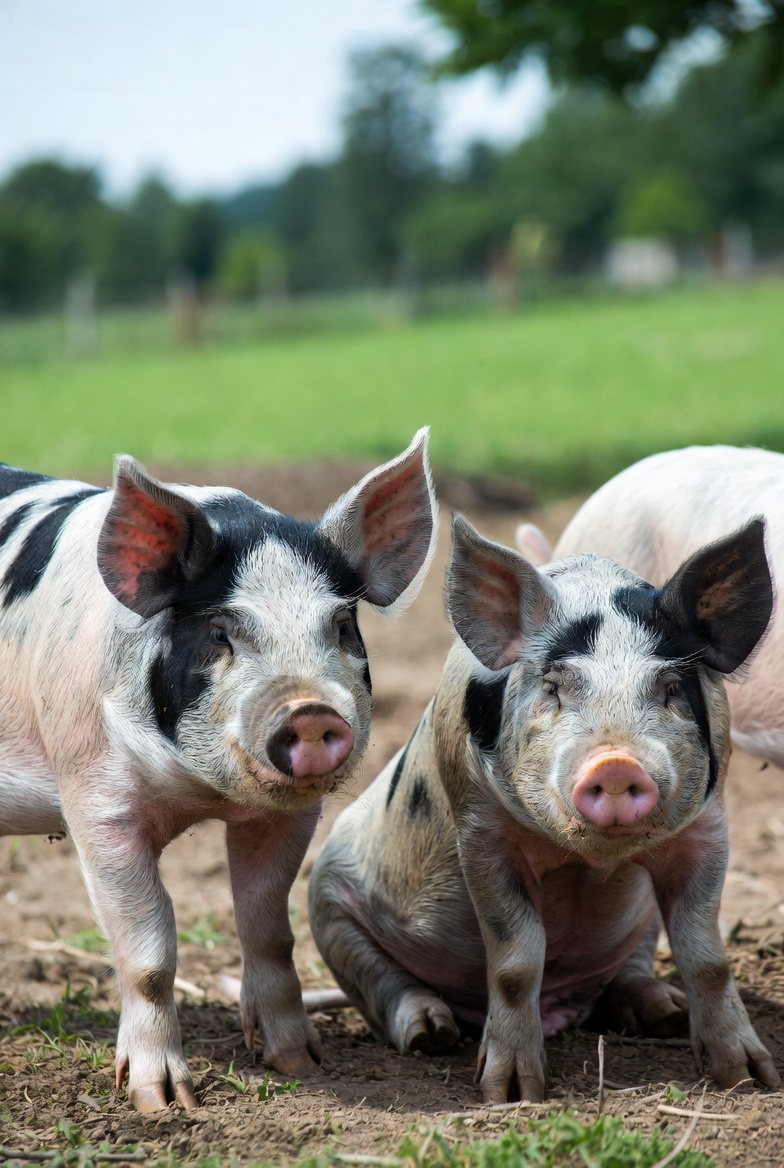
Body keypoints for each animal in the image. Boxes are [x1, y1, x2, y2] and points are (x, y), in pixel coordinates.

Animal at [0, 430, 437, 1113]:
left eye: (341, 625)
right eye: (221, 631)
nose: (310, 711)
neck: (199, 792)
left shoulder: (288, 815)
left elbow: (268, 927)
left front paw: (302, 1063)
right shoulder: (96, 798)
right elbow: (149, 952)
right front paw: (163, 1102)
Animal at [309, 515, 780, 1102]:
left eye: (670, 687)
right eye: (555, 687)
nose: (616, 763)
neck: (592, 860)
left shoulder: (708, 828)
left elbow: (708, 957)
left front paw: (752, 1079)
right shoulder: (481, 830)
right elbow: (516, 961)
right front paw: (510, 1094)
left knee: (629, 975)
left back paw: (665, 1011)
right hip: (327, 906)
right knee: (386, 985)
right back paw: (429, 1033)